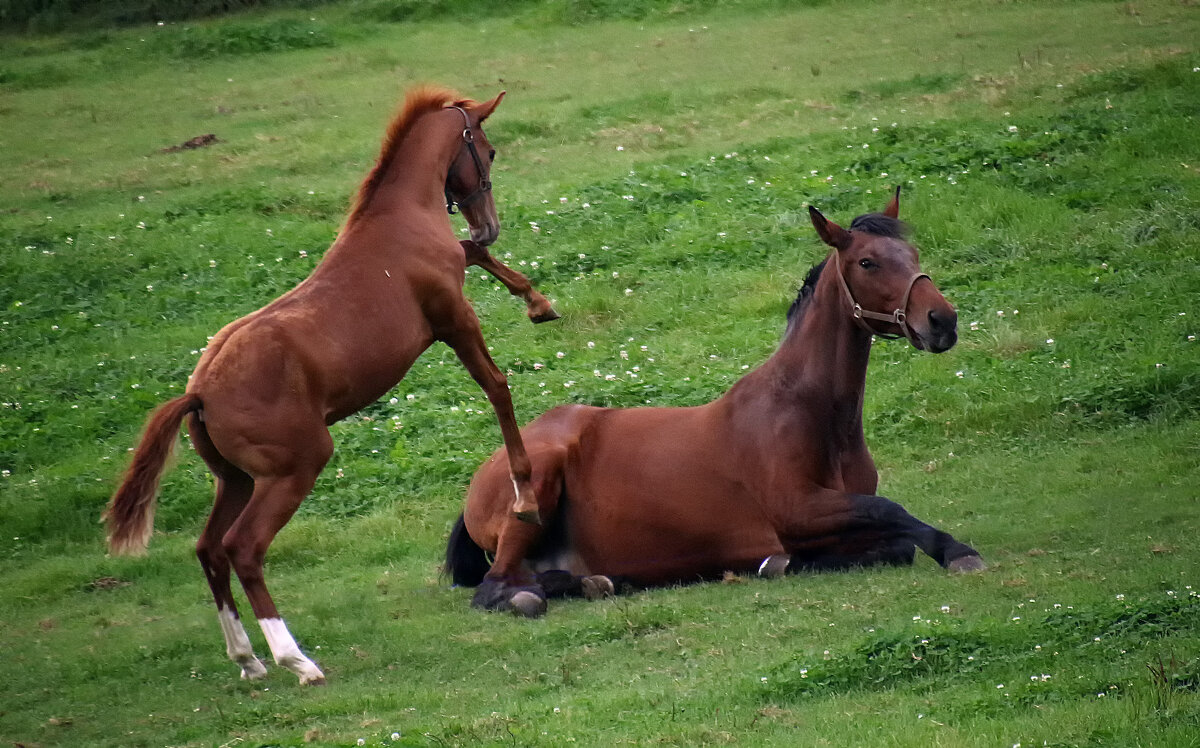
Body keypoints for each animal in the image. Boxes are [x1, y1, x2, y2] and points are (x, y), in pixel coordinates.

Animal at [104, 86, 556, 686]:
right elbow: (498, 388)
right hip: (294, 470)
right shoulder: (453, 320)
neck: (396, 219)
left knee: (208, 550)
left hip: (237, 480)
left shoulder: (455, 283)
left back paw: (248, 659)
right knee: (242, 549)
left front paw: (539, 303)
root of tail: (198, 394)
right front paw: (525, 495)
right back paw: (296, 660)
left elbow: (473, 254)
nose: (491, 224)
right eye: (488, 150)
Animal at [448, 188, 984, 619]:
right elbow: (887, 511)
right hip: (536, 483)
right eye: (867, 262)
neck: (805, 411)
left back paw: (597, 581)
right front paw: (958, 551)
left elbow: (893, 543)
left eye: (911, 251)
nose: (942, 320)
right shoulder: (799, 510)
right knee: (499, 588)